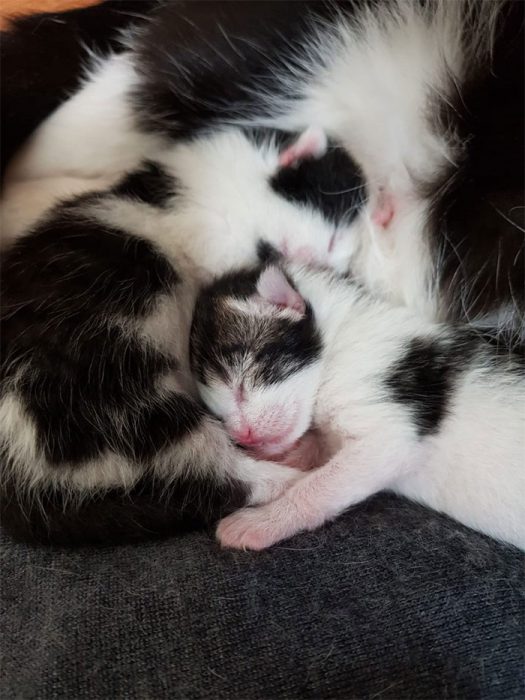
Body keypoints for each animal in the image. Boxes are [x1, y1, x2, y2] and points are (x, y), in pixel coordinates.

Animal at [191, 264, 524, 552]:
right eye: (219, 414)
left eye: (240, 386)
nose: (242, 435)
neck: (340, 333)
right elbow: (315, 449)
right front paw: (279, 457)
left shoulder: (388, 435)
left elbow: (318, 486)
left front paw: (260, 522)